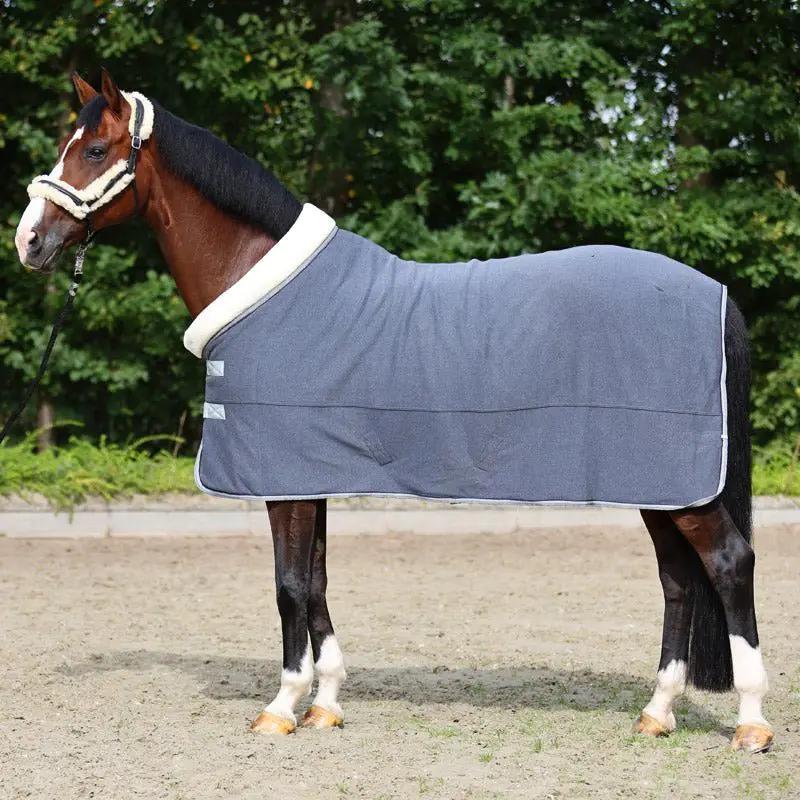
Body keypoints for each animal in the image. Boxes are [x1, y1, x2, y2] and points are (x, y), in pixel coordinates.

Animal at [13, 69, 772, 752]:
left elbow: (289, 586)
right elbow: (317, 583)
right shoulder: (306, 475)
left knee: (729, 563)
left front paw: (282, 707)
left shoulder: (283, 479)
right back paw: (657, 712)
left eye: (93, 150)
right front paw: (326, 704)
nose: (28, 242)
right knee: (679, 581)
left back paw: (752, 723)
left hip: (681, 487)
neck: (265, 287)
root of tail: (715, 293)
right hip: (661, 486)